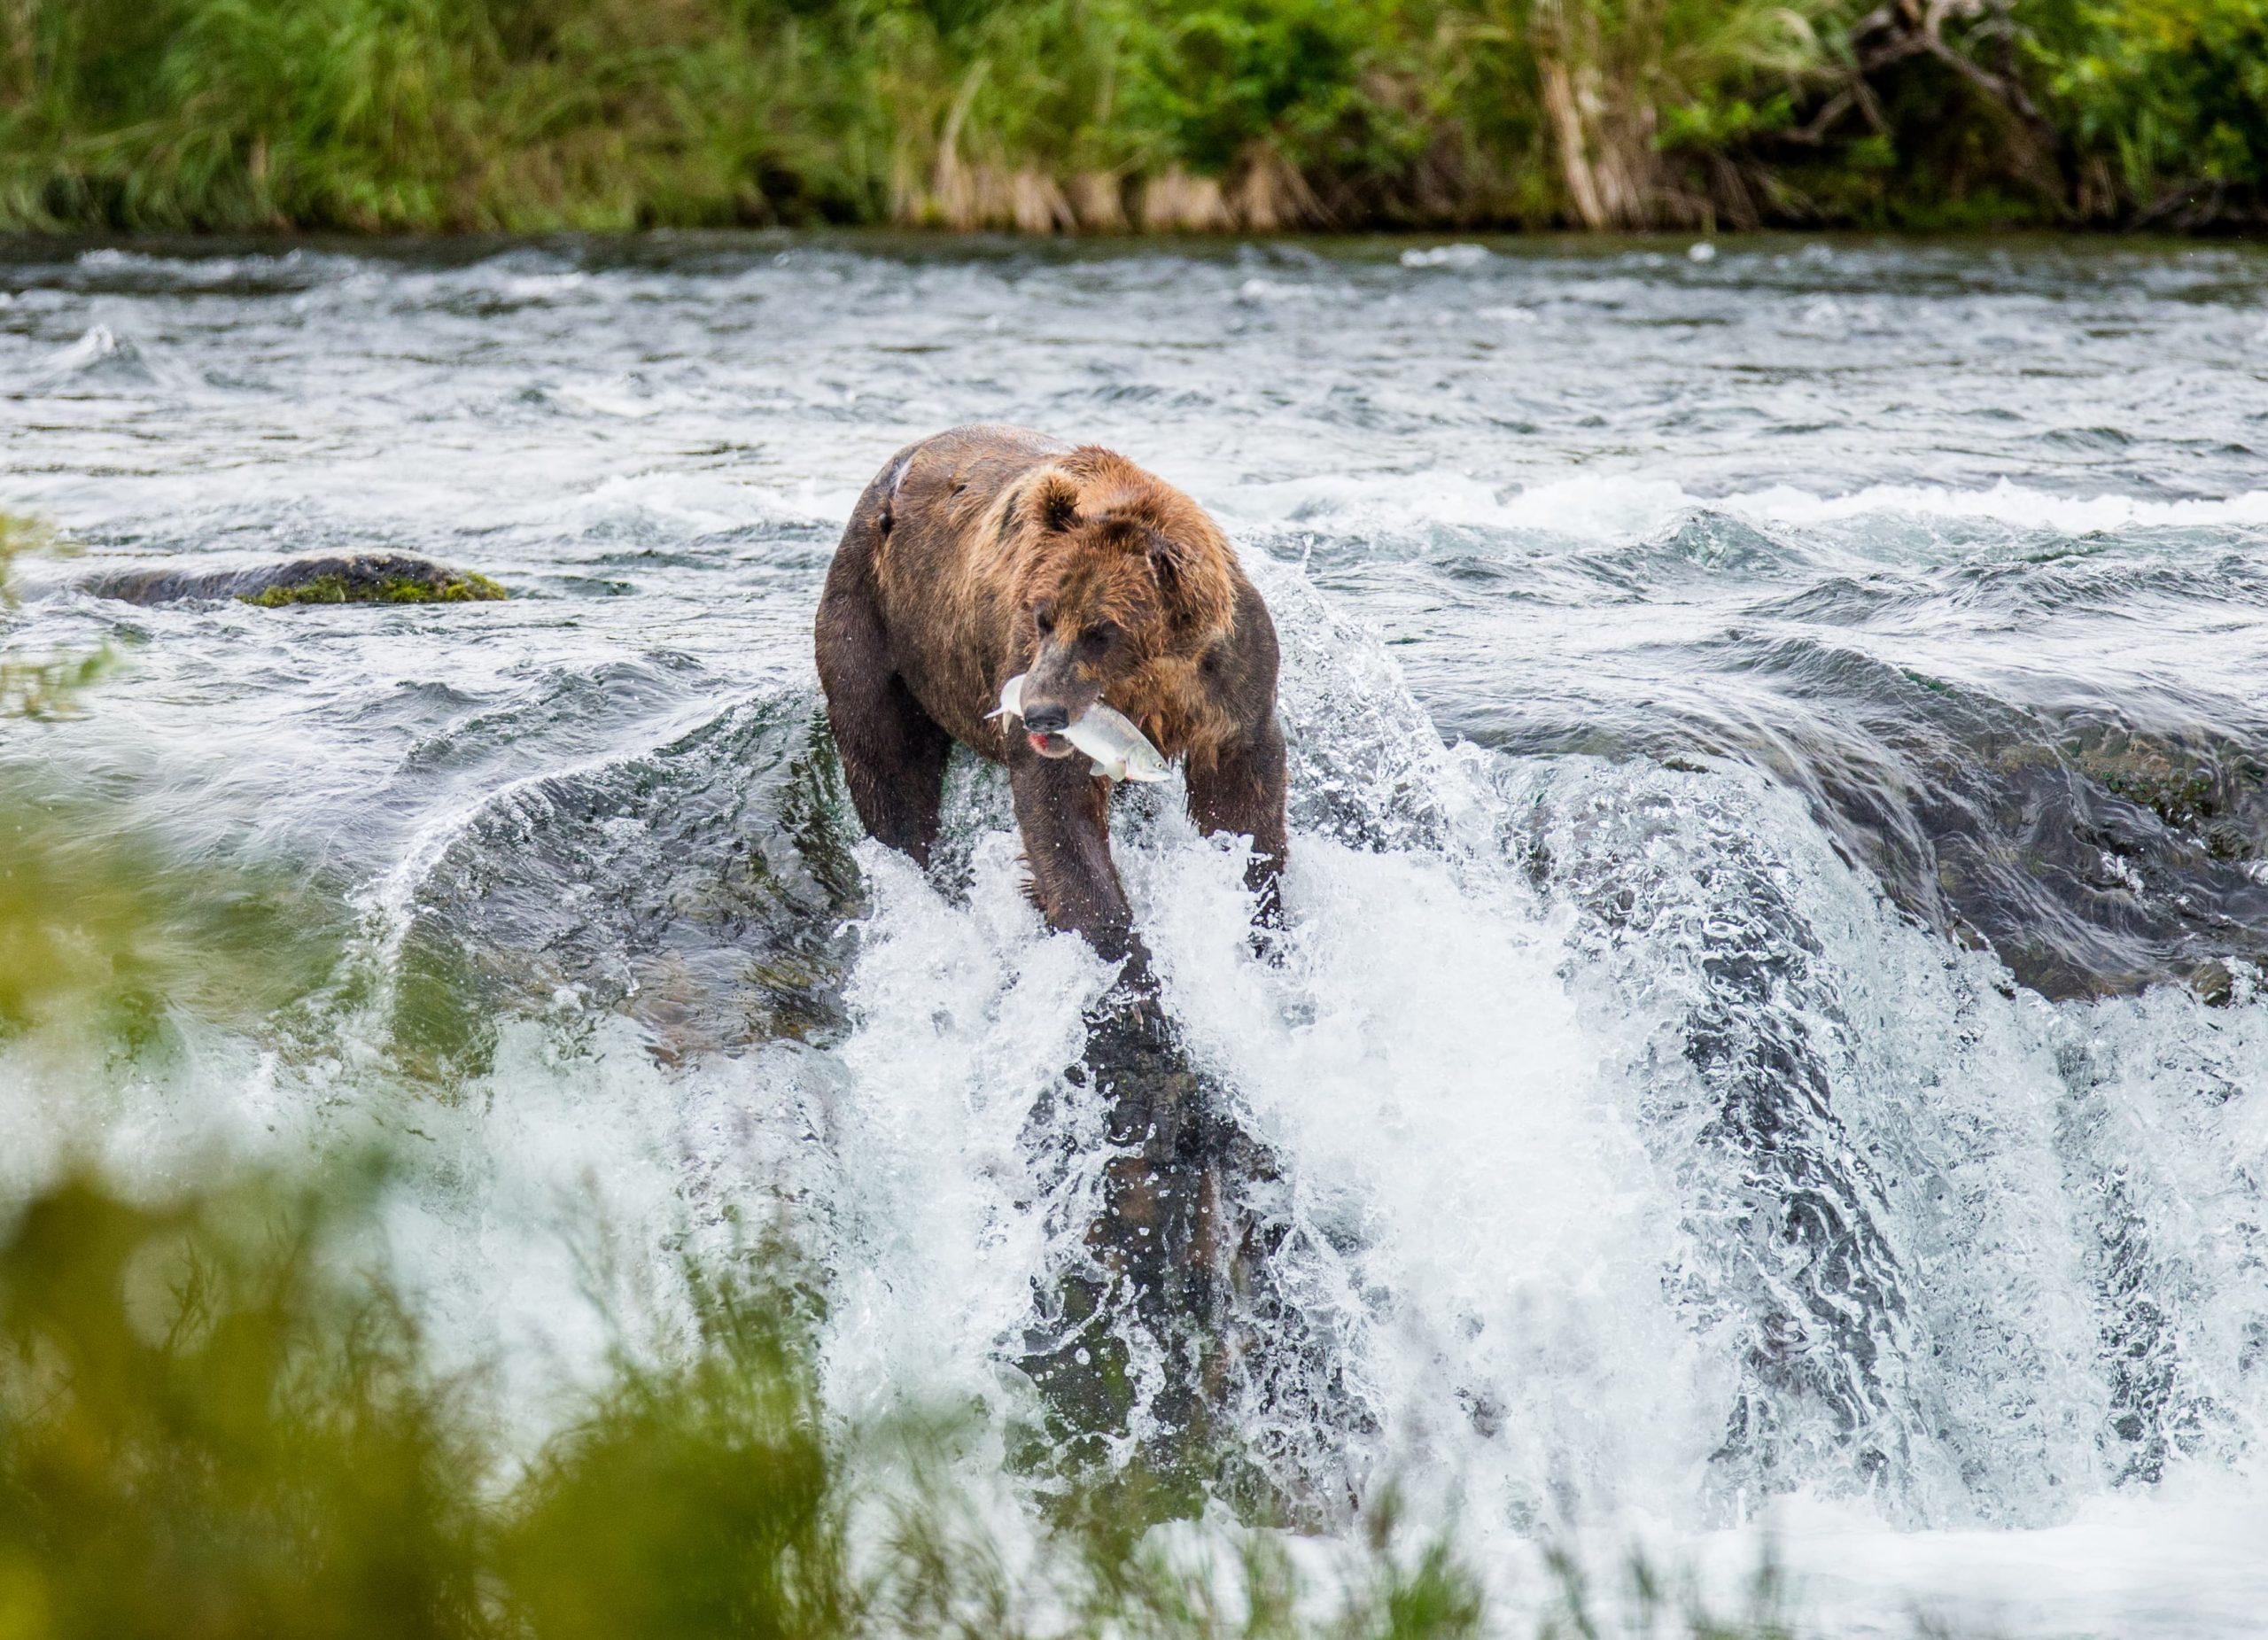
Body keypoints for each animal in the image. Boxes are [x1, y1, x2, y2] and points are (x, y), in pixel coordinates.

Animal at [816, 424, 1288, 975]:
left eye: (1101, 632)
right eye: (1042, 617)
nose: (1039, 712)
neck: (1156, 682)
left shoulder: (1230, 687)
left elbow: (1241, 806)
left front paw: (1263, 916)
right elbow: (1062, 822)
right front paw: (1127, 976)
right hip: (872, 627)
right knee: (889, 770)